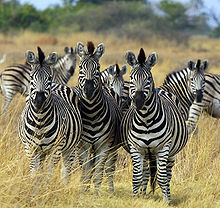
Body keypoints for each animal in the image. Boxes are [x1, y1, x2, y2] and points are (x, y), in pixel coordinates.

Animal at [18, 46, 81, 185]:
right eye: (31, 77)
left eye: (49, 77)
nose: (39, 100)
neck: (40, 120)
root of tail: (59, 85)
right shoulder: (30, 148)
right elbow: (35, 173)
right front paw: (35, 189)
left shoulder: (56, 148)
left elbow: (49, 173)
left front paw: (46, 188)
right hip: (41, 151)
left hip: (70, 147)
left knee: (66, 169)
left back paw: (64, 186)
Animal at [75, 41, 122, 195]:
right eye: (80, 67)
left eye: (98, 68)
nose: (89, 90)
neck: (91, 113)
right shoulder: (82, 146)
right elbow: (86, 171)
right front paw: (84, 191)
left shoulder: (104, 145)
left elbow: (99, 172)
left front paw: (95, 193)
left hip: (113, 147)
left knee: (109, 168)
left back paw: (111, 191)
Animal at [121, 48, 188, 202]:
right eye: (131, 78)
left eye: (148, 79)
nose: (138, 102)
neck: (145, 119)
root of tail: (160, 89)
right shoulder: (136, 148)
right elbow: (136, 178)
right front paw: (135, 199)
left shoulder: (163, 148)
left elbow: (162, 178)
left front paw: (166, 201)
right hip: (147, 154)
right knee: (145, 173)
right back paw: (143, 194)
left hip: (171, 153)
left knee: (167, 175)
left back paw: (168, 196)